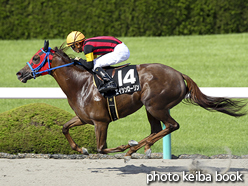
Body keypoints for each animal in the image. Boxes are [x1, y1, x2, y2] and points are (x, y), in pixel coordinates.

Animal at [16, 40, 246, 160]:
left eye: (36, 58)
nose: (19, 73)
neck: (80, 84)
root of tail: (179, 74)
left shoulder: (101, 121)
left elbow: (102, 148)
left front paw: (123, 146)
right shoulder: (83, 118)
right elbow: (64, 128)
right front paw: (82, 149)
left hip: (155, 105)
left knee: (172, 126)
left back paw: (134, 147)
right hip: (150, 108)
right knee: (157, 129)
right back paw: (139, 147)